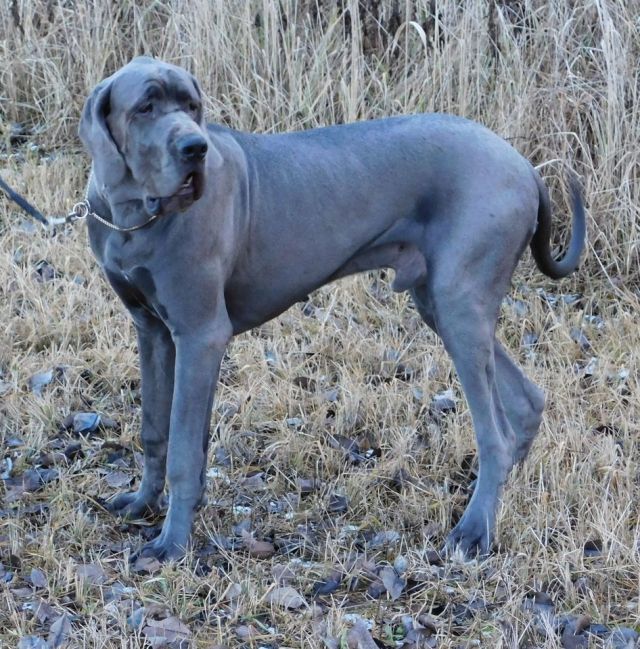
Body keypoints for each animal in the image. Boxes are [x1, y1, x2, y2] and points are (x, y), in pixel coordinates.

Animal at [79, 57, 585, 561]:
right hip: (443, 303)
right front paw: (143, 503)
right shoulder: (153, 331)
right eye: (145, 107)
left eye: (191, 105)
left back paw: (475, 529)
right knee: (525, 401)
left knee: (495, 432)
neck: (134, 218)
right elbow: (156, 428)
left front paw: (172, 544)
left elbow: (183, 449)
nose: (195, 147)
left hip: (459, 301)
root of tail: (524, 165)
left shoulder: (200, 334)